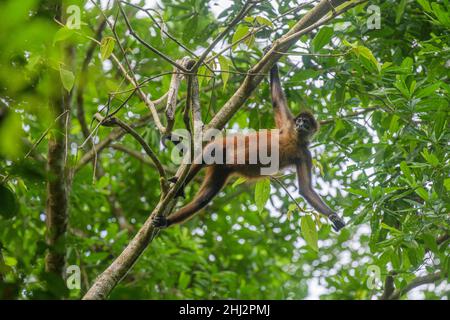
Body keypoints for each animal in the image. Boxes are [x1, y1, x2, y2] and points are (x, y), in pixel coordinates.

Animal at [153, 60, 346, 230]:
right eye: (299, 121)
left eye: (306, 124)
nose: (300, 125)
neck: (294, 139)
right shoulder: (287, 126)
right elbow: (277, 100)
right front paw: (273, 60)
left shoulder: (305, 154)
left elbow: (306, 189)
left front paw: (333, 217)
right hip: (224, 147)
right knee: (207, 155)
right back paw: (180, 185)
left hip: (220, 171)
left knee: (203, 199)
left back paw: (166, 221)